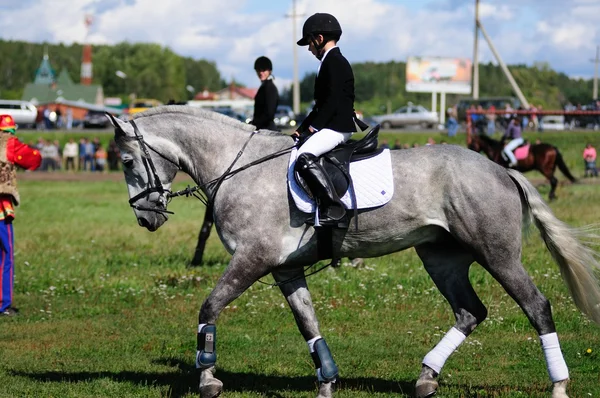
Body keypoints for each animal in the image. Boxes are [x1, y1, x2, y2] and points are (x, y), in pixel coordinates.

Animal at [108, 105, 600, 398]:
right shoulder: (285, 270)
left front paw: (208, 377)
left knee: (537, 306)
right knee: (469, 312)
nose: (146, 218)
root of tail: (501, 170)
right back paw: (426, 377)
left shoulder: (252, 259)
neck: (238, 166)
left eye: (128, 162)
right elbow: (309, 324)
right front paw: (326, 381)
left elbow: (209, 306)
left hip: (497, 255)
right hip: (441, 258)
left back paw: (559, 385)